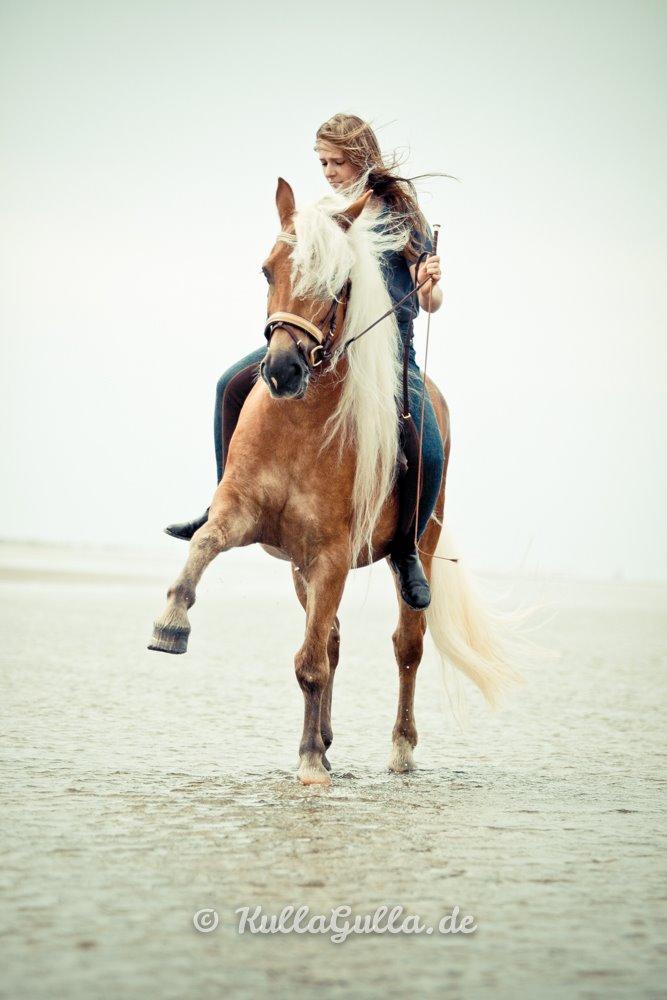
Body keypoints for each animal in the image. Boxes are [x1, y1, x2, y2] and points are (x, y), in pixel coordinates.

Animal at [150, 180, 520, 788]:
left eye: (338, 280)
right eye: (267, 269)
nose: (283, 371)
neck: (298, 423)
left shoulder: (330, 554)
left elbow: (310, 662)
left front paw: (307, 765)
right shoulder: (243, 517)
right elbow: (204, 544)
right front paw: (171, 621)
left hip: (415, 546)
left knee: (405, 646)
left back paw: (400, 750)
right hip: (302, 566)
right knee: (334, 641)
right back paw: (324, 742)